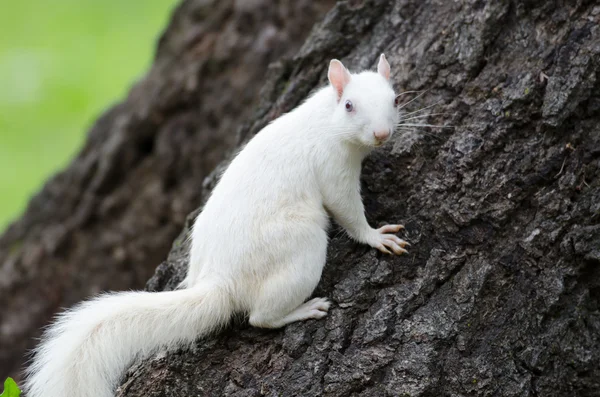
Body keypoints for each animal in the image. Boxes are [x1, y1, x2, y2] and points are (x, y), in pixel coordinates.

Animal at [23, 53, 408, 396]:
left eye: (395, 99)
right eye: (349, 106)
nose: (381, 134)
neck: (326, 118)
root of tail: (219, 282)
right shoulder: (332, 166)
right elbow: (346, 209)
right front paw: (375, 237)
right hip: (300, 248)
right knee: (260, 317)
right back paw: (302, 310)